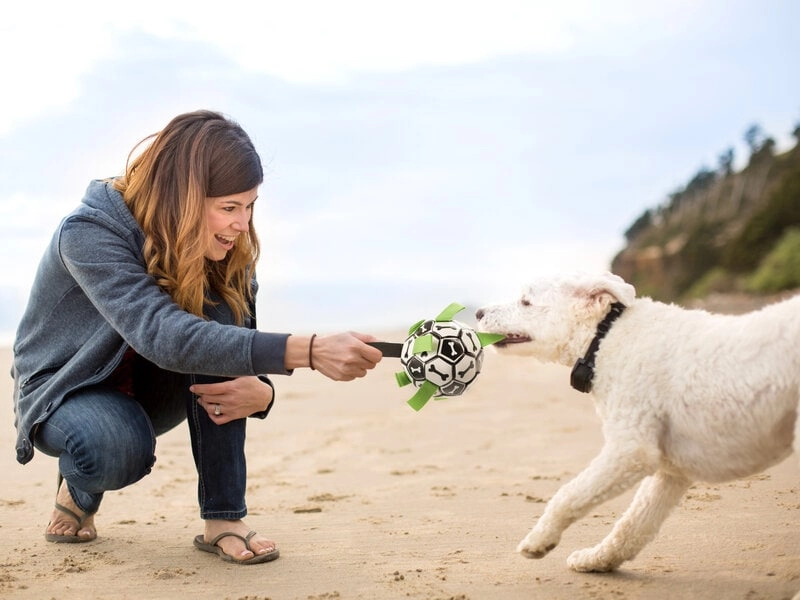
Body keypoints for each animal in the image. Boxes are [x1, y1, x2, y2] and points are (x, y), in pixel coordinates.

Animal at [478, 272, 796, 572]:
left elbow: (568, 495)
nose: (478, 312)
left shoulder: (630, 449)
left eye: (526, 302)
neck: (603, 339)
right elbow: (634, 524)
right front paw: (596, 560)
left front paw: (539, 540)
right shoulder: (671, 469)